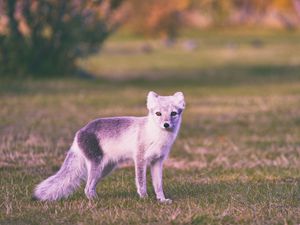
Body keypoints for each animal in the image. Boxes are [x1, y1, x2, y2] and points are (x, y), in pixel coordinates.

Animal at [34, 90, 185, 203]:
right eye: (158, 113)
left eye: (173, 113)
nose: (166, 124)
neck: (156, 136)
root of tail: (79, 132)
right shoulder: (140, 159)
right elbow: (141, 182)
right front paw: (144, 199)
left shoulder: (157, 161)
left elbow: (158, 185)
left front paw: (162, 200)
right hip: (97, 166)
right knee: (87, 188)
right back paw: (95, 201)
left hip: (105, 169)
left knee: (90, 186)